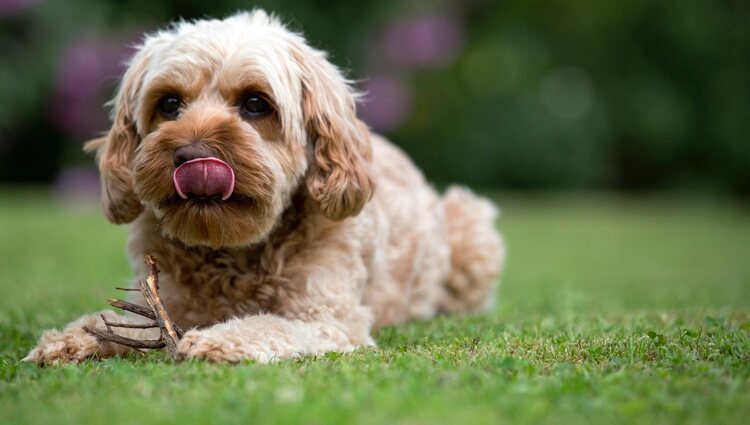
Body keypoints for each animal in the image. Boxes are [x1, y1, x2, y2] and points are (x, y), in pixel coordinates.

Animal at [25, 8, 506, 362]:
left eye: (256, 103)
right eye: (169, 104)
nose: (193, 154)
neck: (233, 250)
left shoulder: (327, 319)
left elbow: (268, 325)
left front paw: (219, 339)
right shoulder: (167, 301)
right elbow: (124, 322)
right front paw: (71, 337)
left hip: (472, 231)